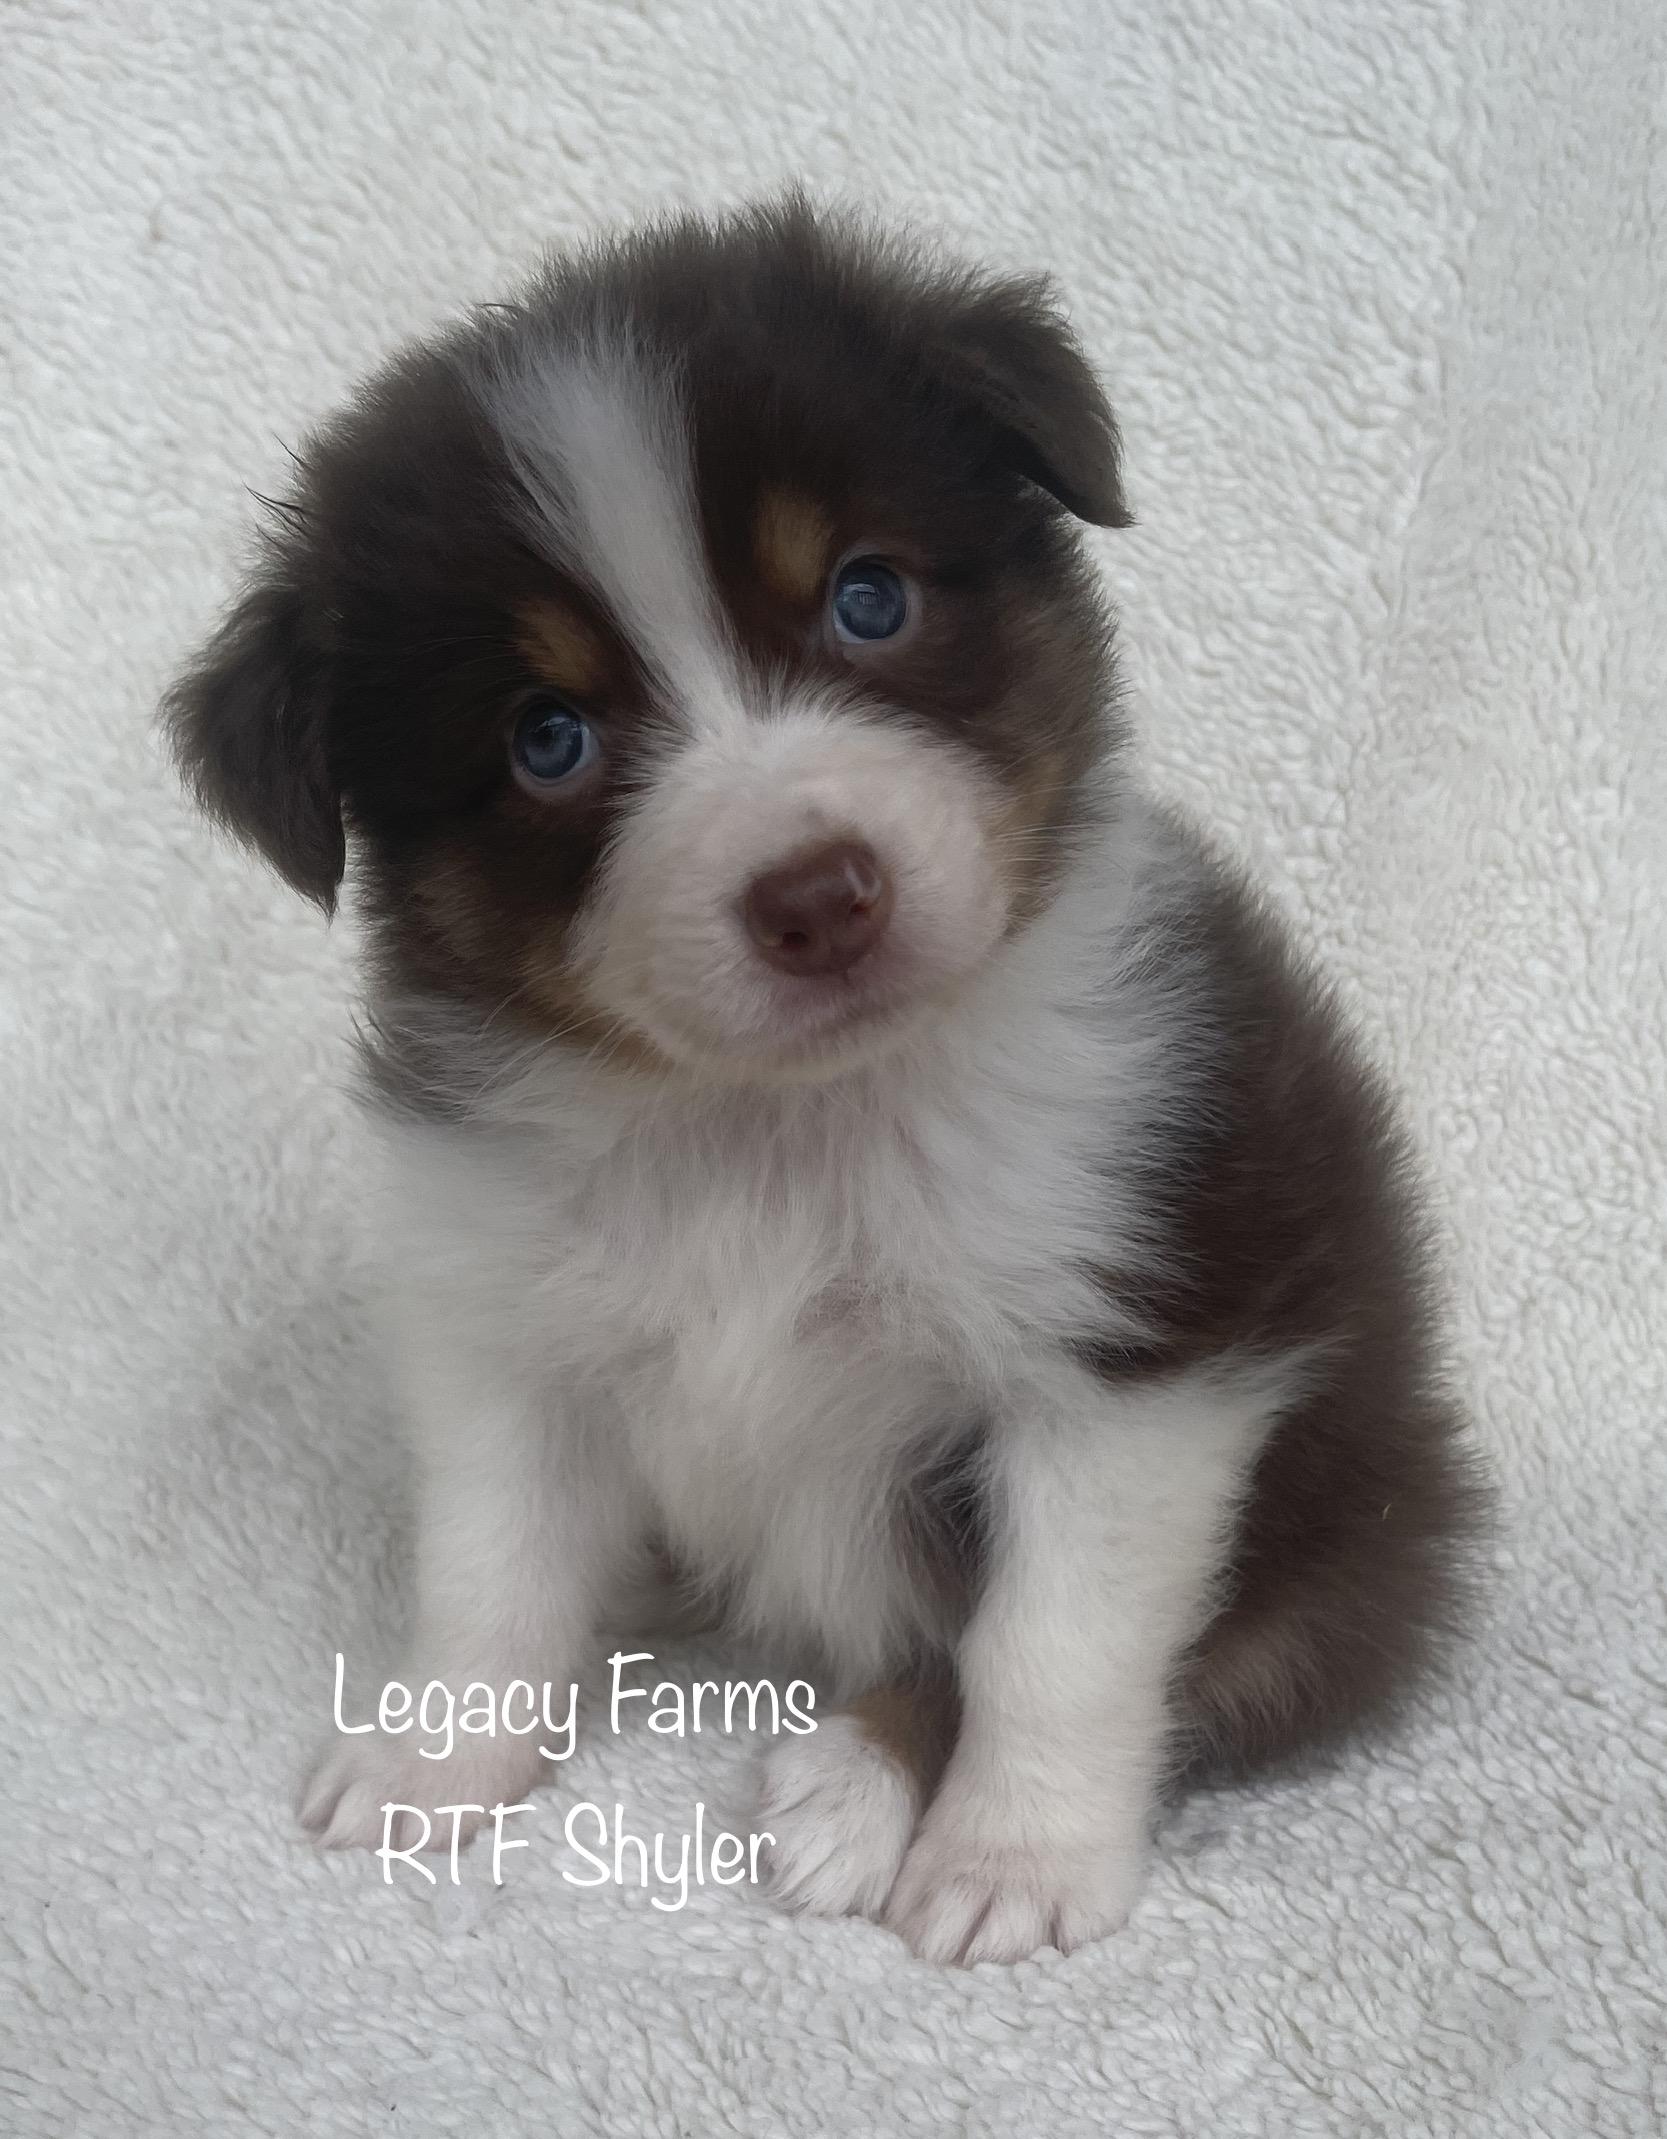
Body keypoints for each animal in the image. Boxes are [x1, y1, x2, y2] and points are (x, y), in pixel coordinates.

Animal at [165, 197, 1485, 1964]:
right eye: (545, 737)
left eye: (868, 599)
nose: (817, 894)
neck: (771, 1118)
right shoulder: (508, 1322)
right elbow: (489, 1561)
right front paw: (434, 1752)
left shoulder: (1130, 1360)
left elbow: (1046, 1642)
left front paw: (1011, 1852)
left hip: (1337, 1539)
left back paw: (851, 1782)